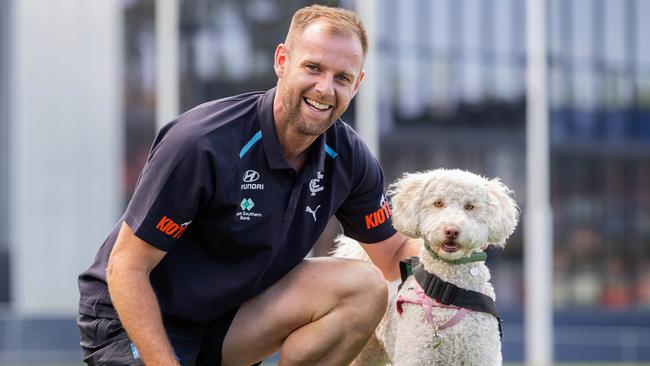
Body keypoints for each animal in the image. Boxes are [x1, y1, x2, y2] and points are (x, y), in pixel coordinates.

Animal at [334, 169, 516, 366]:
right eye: (438, 203)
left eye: (469, 206)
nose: (451, 231)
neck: (447, 292)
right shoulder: (416, 356)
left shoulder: (481, 356)